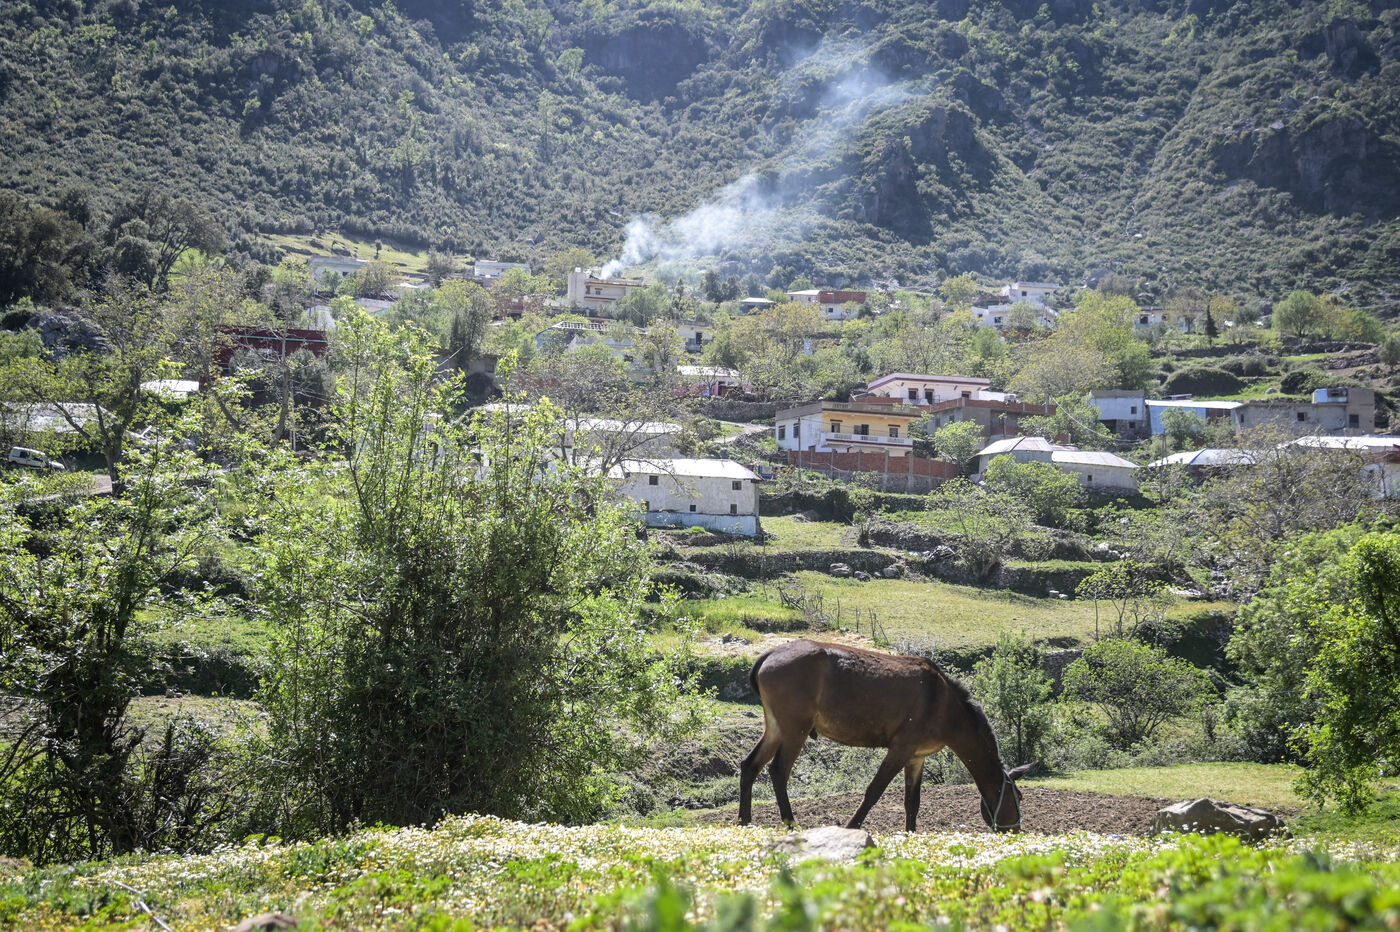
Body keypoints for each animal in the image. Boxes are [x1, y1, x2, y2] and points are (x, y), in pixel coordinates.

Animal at [738, 638, 1035, 832]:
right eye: (1018, 798)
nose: (1015, 830)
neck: (946, 705)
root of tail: (768, 655)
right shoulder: (901, 747)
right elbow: (874, 790)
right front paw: (852, 827)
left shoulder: (917, 756)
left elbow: (912, 802)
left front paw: (911, 833)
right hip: (794, 728)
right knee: (778, 771)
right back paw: (790, 824)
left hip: (776, 726)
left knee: (750, 765)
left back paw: (744, 820)